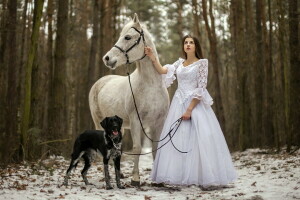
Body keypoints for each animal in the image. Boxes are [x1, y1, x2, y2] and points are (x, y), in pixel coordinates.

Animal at [88, 13, 170, 186]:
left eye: (127, 37)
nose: (107, 58)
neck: (150, 85)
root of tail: (101, 81)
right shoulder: (135, 121)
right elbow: (137, 148)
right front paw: (135, 179)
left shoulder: (158, 122)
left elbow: (155, 147)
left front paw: (156, 180)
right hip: (98, 121)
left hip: (119, 128)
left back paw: (119, 174)